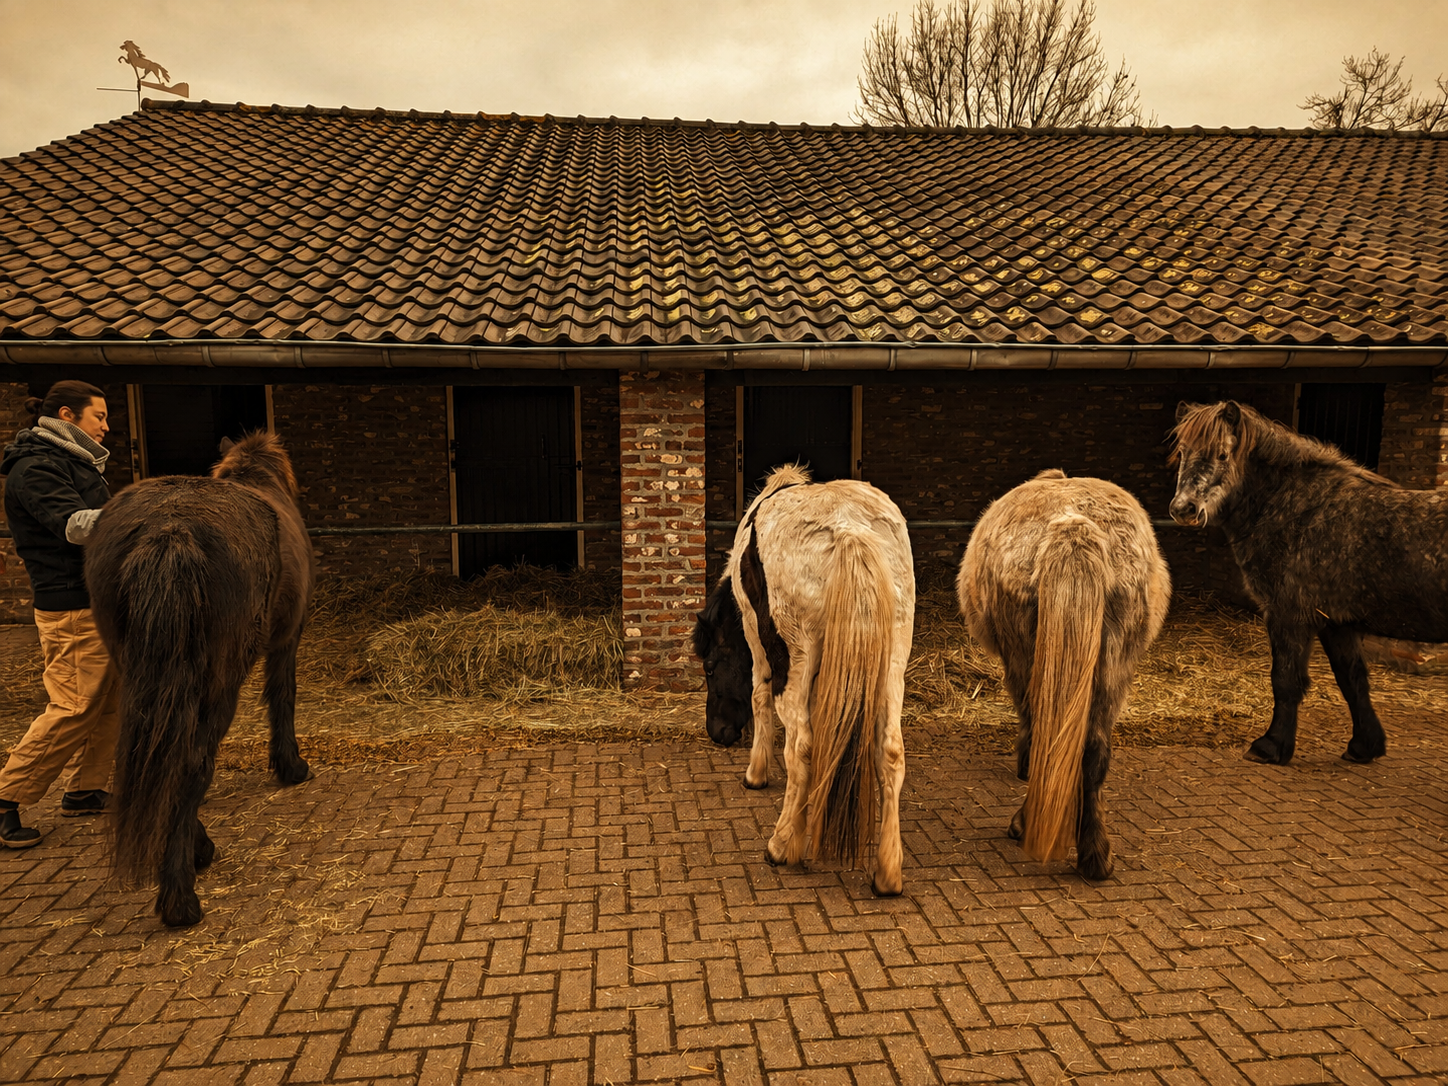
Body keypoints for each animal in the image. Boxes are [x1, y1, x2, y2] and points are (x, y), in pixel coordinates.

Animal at [85, 432, 314, 928]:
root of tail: (169, 530)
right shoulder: (288, 637)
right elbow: (282, 697)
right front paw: (291, 766)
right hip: (217, 683)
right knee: (191, 762)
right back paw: (180, 897)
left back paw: (196, 851)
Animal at [693, 465, 915, 896]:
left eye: (710, 667)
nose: (718, 732)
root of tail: (849, 528)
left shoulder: (754, 635)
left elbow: (759, 698)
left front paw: (756, 774)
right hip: (893, 661)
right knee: (891, 752)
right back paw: (887, 873)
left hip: (794, 659)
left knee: (801, 747)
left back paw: (781, 845)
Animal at [958, 470, 1170, 880]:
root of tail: (1073, 526)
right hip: (1112, 668)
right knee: (1093, 750)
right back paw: (1095, 856)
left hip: (1028, 658)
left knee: (1047, 731)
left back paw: (1025, 824)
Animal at [1169, 399, 1448, 766]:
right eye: (1182, 451)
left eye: (1222, 454)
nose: (1183, 509)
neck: (1300, 509)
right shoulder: (1336, 624)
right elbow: (1352, 680)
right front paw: (1364, 746)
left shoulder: (1289, 616)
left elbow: (1285, 680)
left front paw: (1271, 745)